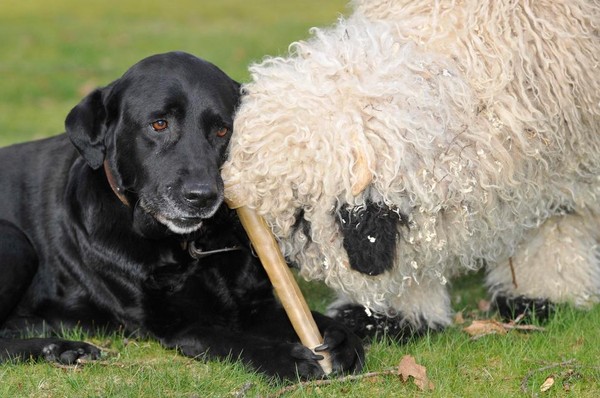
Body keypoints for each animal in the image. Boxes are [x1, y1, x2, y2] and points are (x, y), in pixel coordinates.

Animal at [0, 52, 364, 380]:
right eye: (159, 124)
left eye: (223, 131)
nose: (202, 197)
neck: (189, 248)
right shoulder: (176, 324)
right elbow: (235, 341)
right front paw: (286, 358)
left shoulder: (258, 304)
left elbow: (318, 321)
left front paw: (341, 340)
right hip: (15, 241)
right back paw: (58, 347)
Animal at [223, 0, 600, 338]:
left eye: (301, 217)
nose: (283, 263)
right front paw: (388, 316)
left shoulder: (572, 166)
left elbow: (556, 225)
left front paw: (542, 293)